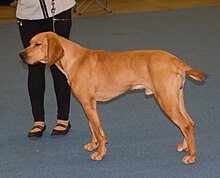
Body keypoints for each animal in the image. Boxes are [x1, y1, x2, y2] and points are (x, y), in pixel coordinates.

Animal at [18, 31, 206, 164]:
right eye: (29, 43)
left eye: (38, 44)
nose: (21, 55)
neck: (74, 59)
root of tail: (175, 59)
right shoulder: (91, 104)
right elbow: (95, 127)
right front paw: (94, 145)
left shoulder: (88, 103)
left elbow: (97, 130)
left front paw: (100, 153)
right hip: (176, 98)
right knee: (189, 123)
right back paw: (185, 147)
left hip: (166, 100)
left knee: (185, 125)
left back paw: (192, 156)